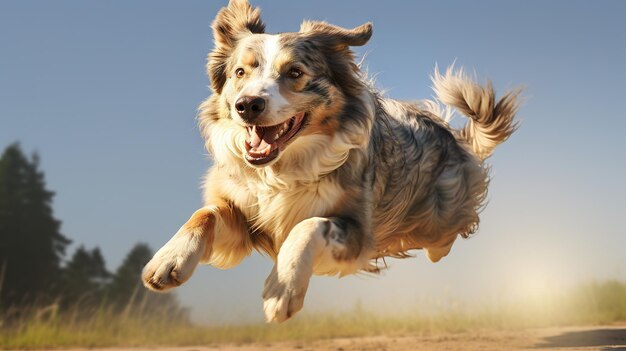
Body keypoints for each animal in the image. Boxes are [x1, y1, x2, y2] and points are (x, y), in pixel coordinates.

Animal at [144, 0, 520, 324]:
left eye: (295, 72)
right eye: (239, 72)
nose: (247, 105)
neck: (281, 170)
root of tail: (453, 136)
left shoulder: (358, 232)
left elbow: (310, 225)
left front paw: (283, 287)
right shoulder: (241, 218)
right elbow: (205, 213)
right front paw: (168, 259)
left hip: (437, 220)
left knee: (443, 240)